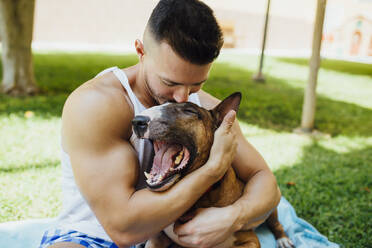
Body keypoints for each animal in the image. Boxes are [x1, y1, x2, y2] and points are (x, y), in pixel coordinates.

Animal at [132, 93, 294, 248]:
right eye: (160, 104)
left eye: (190, 111)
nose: (137, 121)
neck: (198, 199)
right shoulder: (159, 237)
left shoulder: (251, 240)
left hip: (271, 206)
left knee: (276, 223)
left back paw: (283, 239)